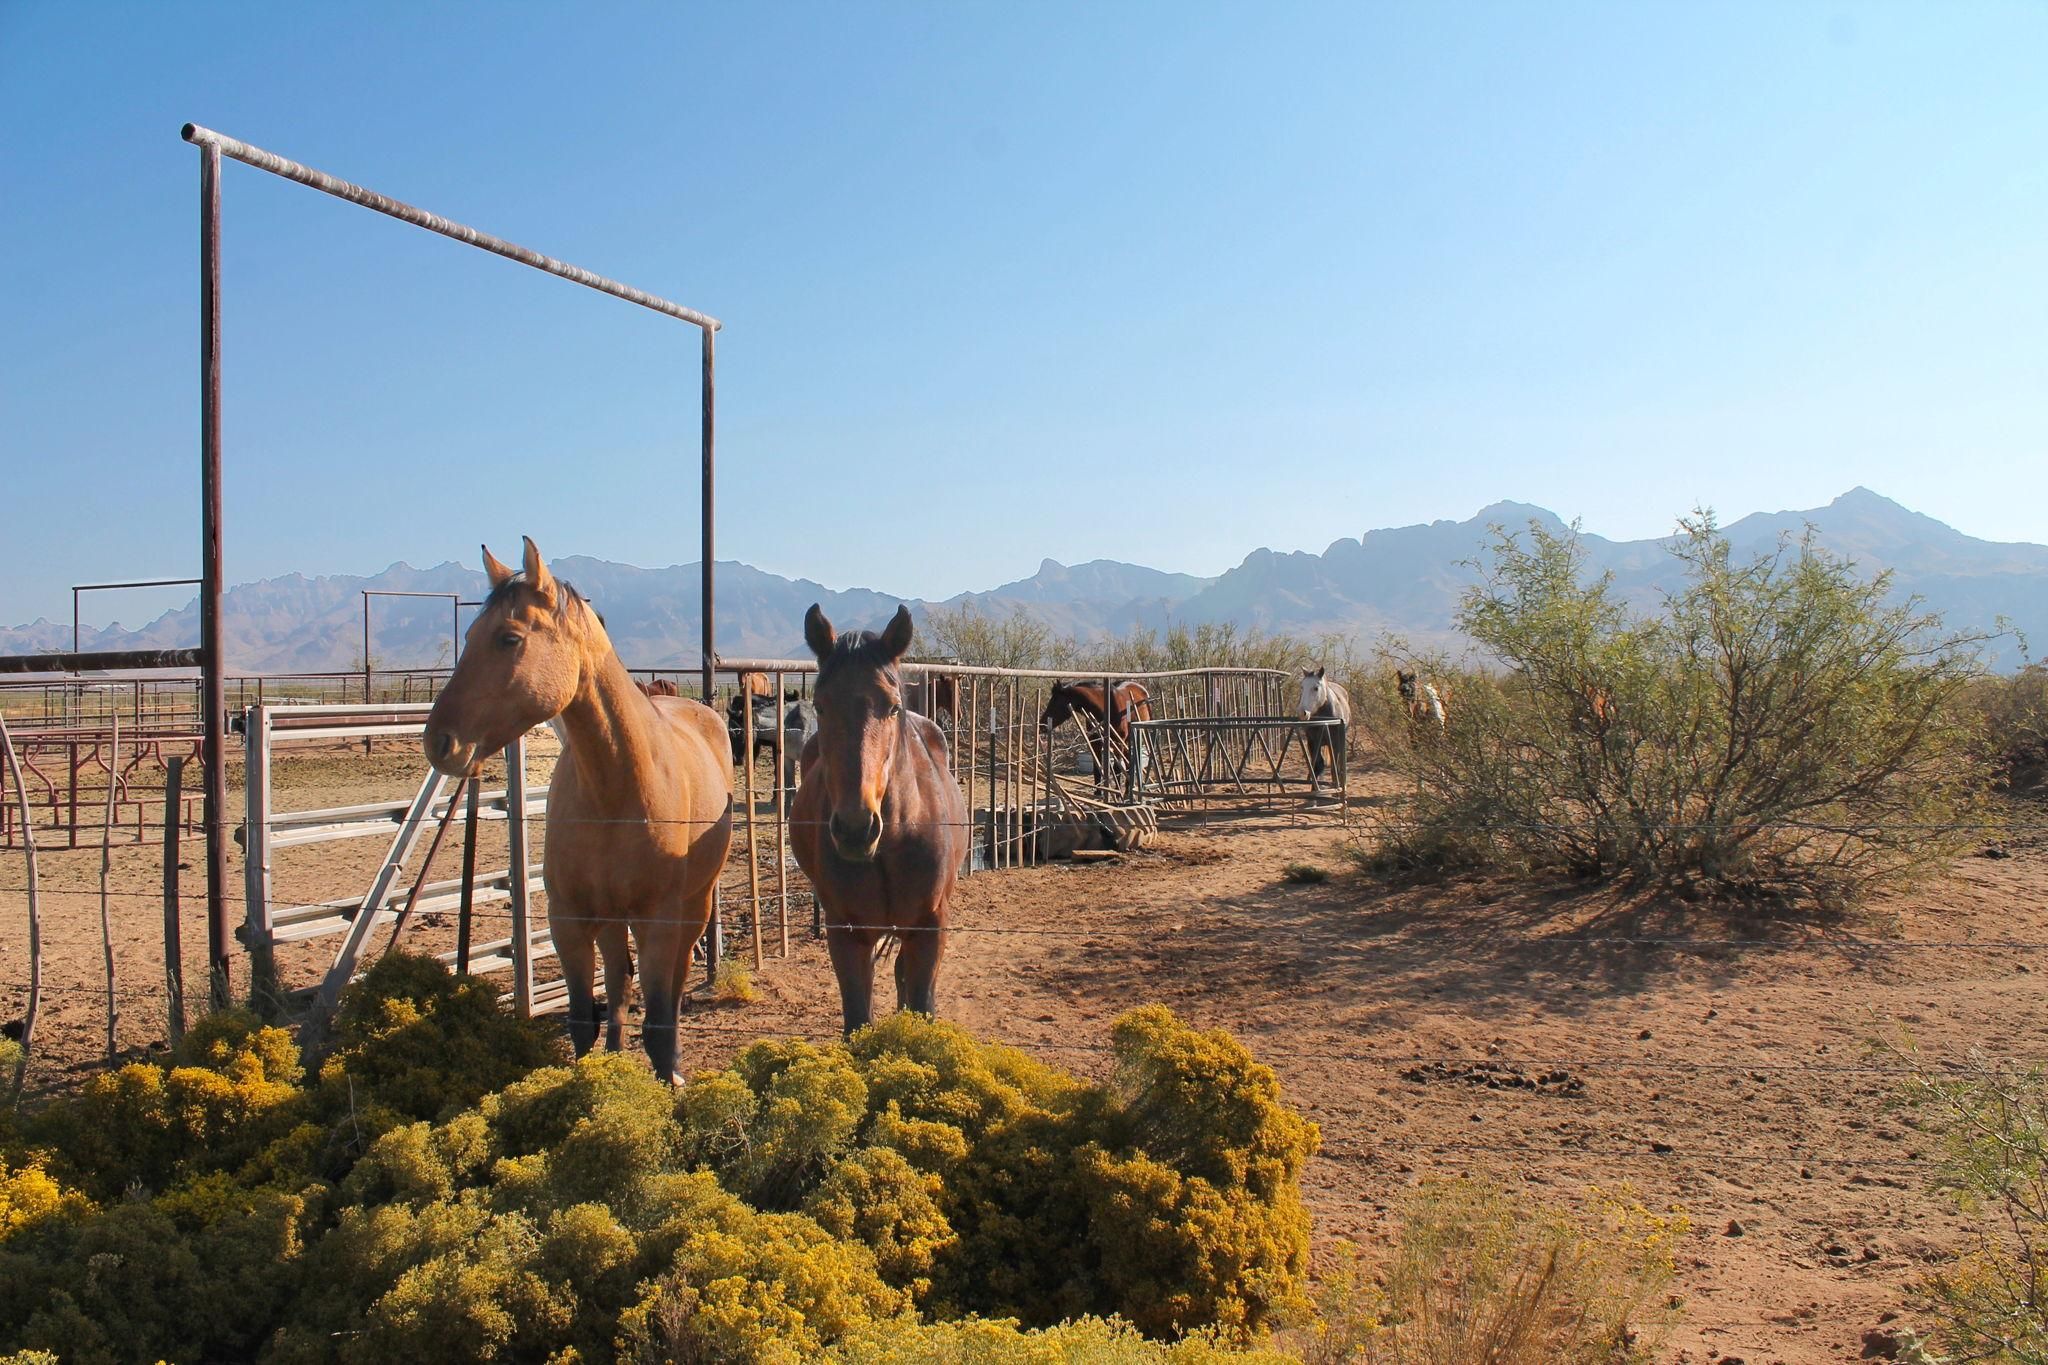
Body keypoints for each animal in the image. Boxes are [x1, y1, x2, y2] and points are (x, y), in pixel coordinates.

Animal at [423, 537, 732, 1082]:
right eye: (470, 635)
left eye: (508, 638)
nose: (439, 741)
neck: (614, 790)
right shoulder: (569, 919)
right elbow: (583, 1018)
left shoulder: (657, 919)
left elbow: (658, 1022)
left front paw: (668, 1077)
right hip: (608, 918)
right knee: (620, 979)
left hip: (693, 904)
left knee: (673, 981)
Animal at [790, 604, 968, 1034]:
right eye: (821, 705)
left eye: (892, 706)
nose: (856, 829)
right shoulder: (846, 934)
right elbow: (858, 1018)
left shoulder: (929, 929)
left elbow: (922, 1003)